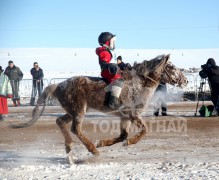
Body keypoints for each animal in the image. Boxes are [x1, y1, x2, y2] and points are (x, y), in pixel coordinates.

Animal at [10, 54, 187, 163]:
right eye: (172, 67)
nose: (185, 81)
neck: (138, 84)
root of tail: (59, 85)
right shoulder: (133, 114)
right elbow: (143, 131)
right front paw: (128, 142)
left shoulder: (125, 117)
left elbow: (122, 135)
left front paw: (102, 142)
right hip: (78, 111)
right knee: (76, 129)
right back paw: (93, 150)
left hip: (72, 111)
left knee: (60, 121)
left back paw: (70, 149)